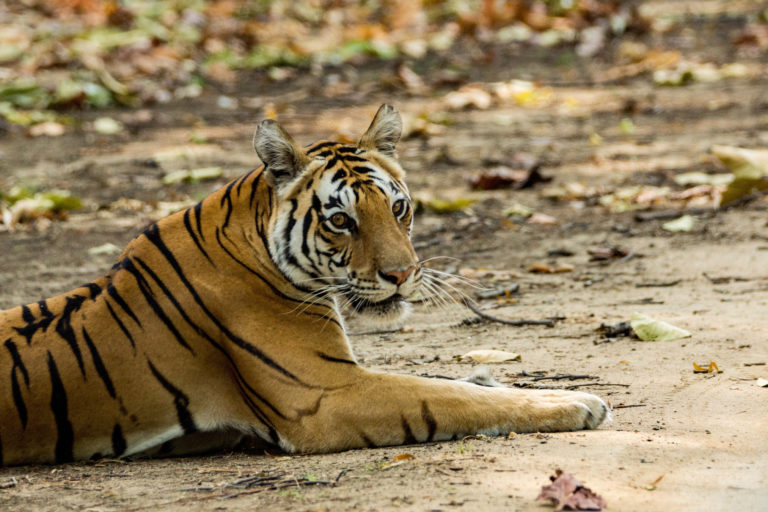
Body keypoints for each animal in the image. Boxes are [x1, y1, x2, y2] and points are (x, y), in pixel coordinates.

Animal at [0, 105, 608, 468]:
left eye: (398, 208)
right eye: (341, 220)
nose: (401, 274)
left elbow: (449, 383)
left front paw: (485, 374)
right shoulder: (327, 394)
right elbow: (449, 398)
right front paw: (578, 402)